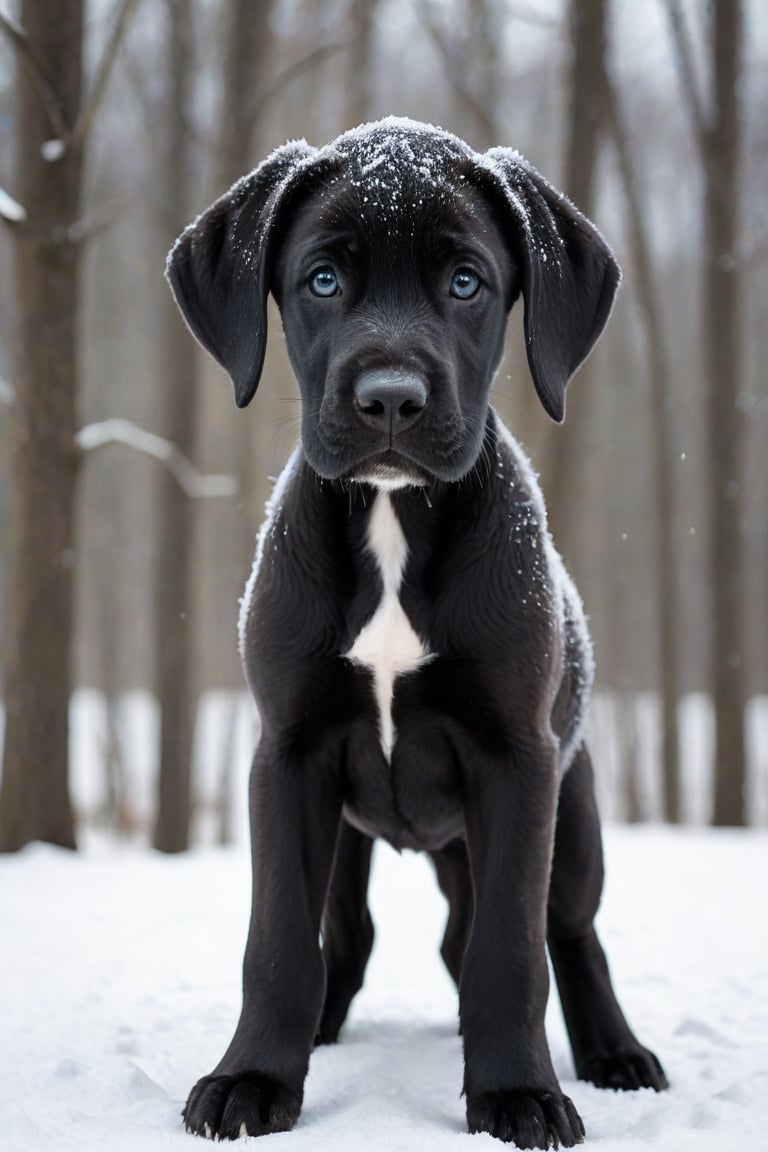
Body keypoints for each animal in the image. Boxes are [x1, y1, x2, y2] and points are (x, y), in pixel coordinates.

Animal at [166, 114, 667, 1142]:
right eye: (321, 280)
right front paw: (252, 1078)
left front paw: (517, 1093)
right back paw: (318, 1031)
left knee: (568, 932)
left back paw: (613, 1051)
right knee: (350, 934)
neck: (394, 518)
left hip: (575, 812)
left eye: (466, 283)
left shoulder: (518, 761)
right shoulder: (288, 753)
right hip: (353, 829)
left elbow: (509, 952)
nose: (390, 399)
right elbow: (279, 942)